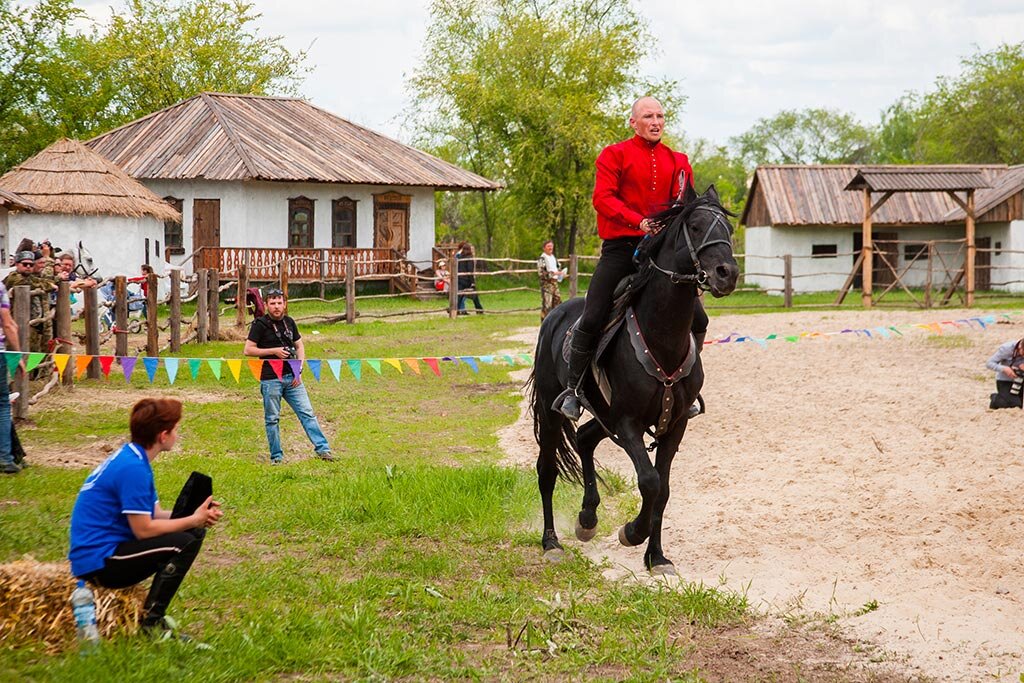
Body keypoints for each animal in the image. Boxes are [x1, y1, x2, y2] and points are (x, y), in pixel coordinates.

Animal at [528, 184, 737, 573]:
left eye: (728, 230)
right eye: (696, 226)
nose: (726, 273)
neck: (662, 337)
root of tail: (554, 316)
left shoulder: (674, 426)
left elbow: (663, 490)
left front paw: (656, 556)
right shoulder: (628, 423)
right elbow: (650, 482)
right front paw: (632, 532)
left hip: (603, 416)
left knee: (584, 438)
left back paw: (587, 519)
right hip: (553, 414)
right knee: (547, 471)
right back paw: (551, 542)